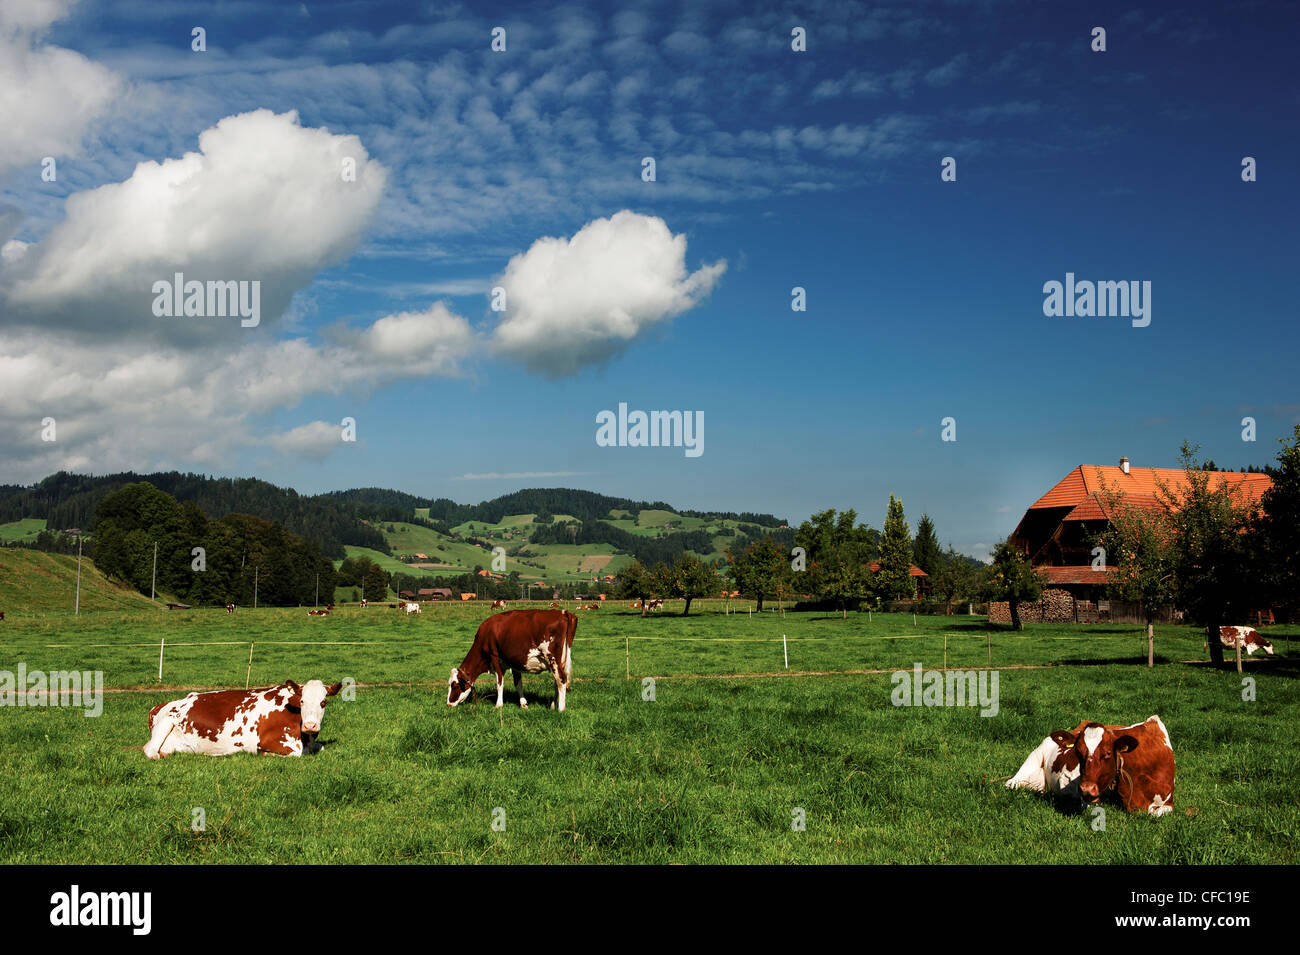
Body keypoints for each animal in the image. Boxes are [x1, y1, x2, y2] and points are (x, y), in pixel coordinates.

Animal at [144, 680, 343, 764]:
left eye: (323, 702)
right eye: (302, 701)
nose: (311, 725)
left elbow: (321, 747)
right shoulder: (268, 741)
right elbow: (295, 754)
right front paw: (264, 754)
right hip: (166, 721)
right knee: (149, 750)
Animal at [449, 613, 577, 712]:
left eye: (454, 686)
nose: (448, 704)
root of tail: (563, 613)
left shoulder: (494, 657)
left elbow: (500, 683)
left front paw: (498, 705)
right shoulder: (514, 662)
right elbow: (518, 683)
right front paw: (523, 704)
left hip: (552, 658)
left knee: (561, 680)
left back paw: (561, 709)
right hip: (558, 663)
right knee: (557, 682)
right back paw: (553, 705)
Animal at [1003, 712, 1180, 815]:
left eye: (1108, 753)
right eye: (1078, 752)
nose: (1086, 789)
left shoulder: (1168, 803)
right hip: (1032, 760)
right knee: (1012, 784)